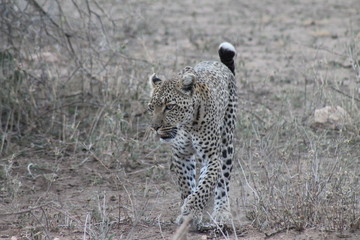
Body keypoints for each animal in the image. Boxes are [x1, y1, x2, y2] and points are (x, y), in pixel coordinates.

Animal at [147, 41, 236, 229]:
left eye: (169, 107)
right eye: (151, 107)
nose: (155, 127)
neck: (186, 126)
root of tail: (219, 64)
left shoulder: (212, 157)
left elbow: (204, 186)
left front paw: (192, 211)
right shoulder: (181, 155)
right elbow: (187, 184)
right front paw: (188, 211)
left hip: (227, 142)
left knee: (223, 182)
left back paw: (222, 212)